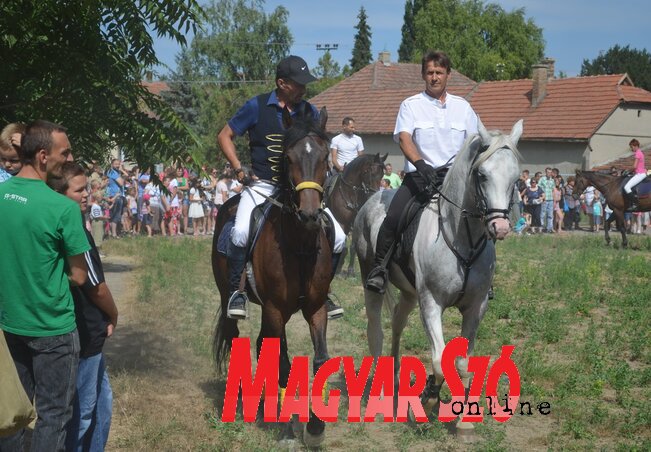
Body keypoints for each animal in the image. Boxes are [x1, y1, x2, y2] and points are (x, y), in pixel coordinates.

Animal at [214, 107, 334, 448]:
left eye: (325, 157)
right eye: (289, 157)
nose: (309, 215)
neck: (299, 245)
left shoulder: (315, 308)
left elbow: (320, 360)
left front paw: (315, 426)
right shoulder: (275, 310)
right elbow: (282, 365)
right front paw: (287, 430)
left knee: (260, 344)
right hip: (233, 299)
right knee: (236, 339)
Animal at [354, 119, 524, 434]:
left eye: (516, 177)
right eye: (481, 175)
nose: (501, 227)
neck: (462, 239)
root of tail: (372, 199)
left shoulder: (476, 307)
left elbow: (462, 363)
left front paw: (464, 420)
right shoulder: (431, 304)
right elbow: (438, 359)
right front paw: (429, 399)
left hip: (409, 294)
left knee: (397, 323)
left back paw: (395, 378)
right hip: (371, 280)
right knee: (376, 332)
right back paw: (380, 395)